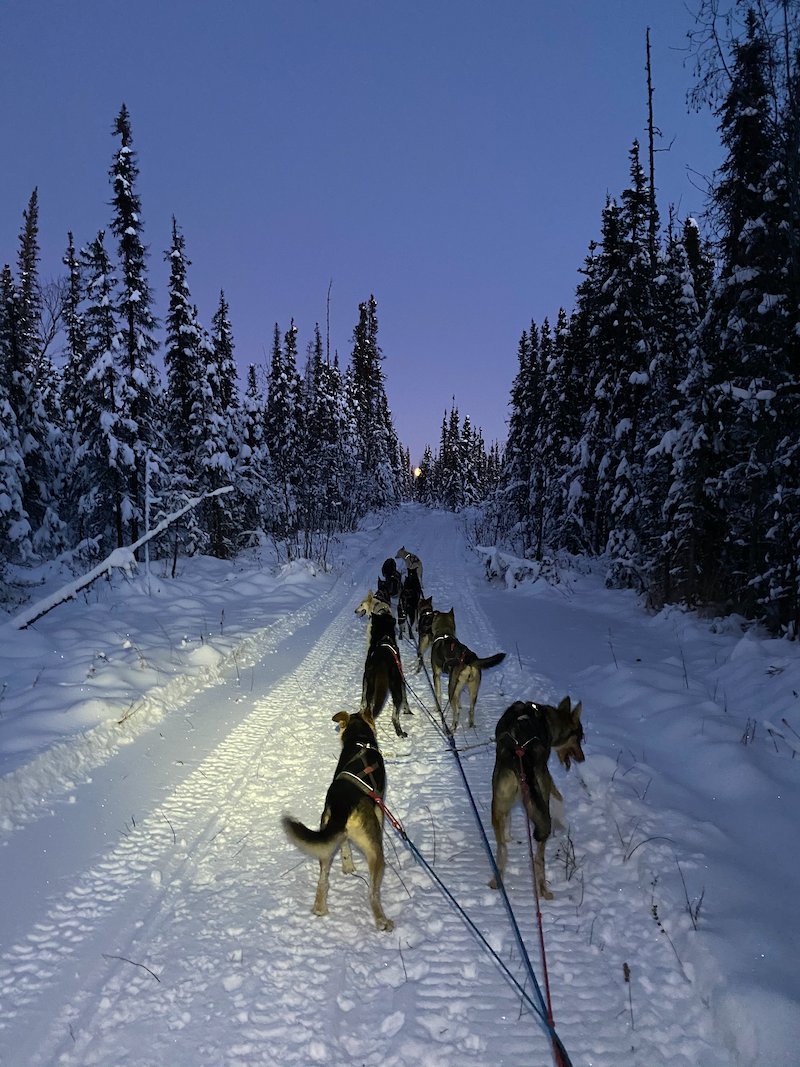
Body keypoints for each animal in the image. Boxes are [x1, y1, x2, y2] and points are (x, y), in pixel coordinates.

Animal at [281, 717, 394, 934]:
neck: (359, 739)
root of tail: (343, 804)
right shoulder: (380, 807)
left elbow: (345, 848)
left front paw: (348, 866)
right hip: (375, 853)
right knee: (372, 893)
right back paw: (382, 921)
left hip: (325, 843)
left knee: (322, 881)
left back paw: (320, 909)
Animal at [486, 699, 584, 900]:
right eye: (579, 737)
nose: (583, 758)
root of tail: (520, 752)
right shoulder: (546, 779)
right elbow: (558, 796)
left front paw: (508, 836)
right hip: (541, 805)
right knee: (539, 859)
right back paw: (543, 890)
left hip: (497, 805)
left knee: (502, 850)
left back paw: (497, 880)